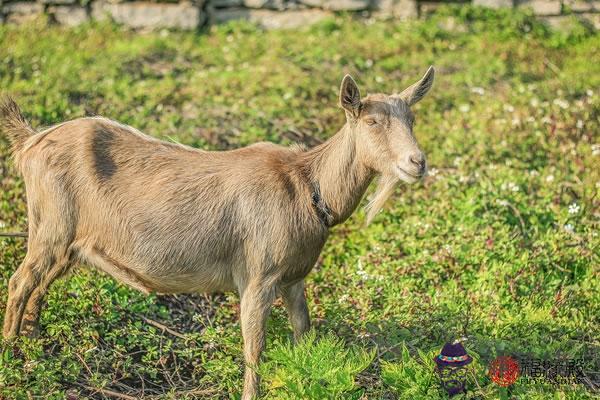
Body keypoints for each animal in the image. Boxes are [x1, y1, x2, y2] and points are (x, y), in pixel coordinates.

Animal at [0, 67, 434, 398]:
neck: (307, 187)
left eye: (412, 120)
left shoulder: (294, 278)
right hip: (51, 227)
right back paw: (11, 354)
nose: (417, 162)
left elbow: (304, 332)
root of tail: (30, 141)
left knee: (40, 285)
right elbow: (255, 348)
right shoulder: (258, 276)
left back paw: (35, 347)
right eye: (372, 121)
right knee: (20, 281)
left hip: (69, 240)